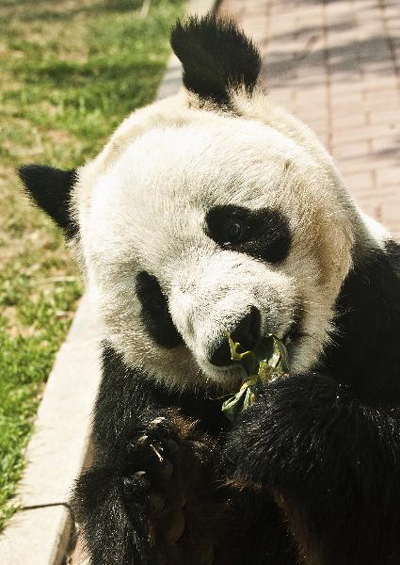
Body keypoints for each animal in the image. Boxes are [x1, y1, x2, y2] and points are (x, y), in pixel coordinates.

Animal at [18, 12, 400, 564]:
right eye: (152, 300)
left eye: (233, 226)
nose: (237, 334)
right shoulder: (132, 388)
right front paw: (163, 494)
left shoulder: (378, 302)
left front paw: (287, 429)